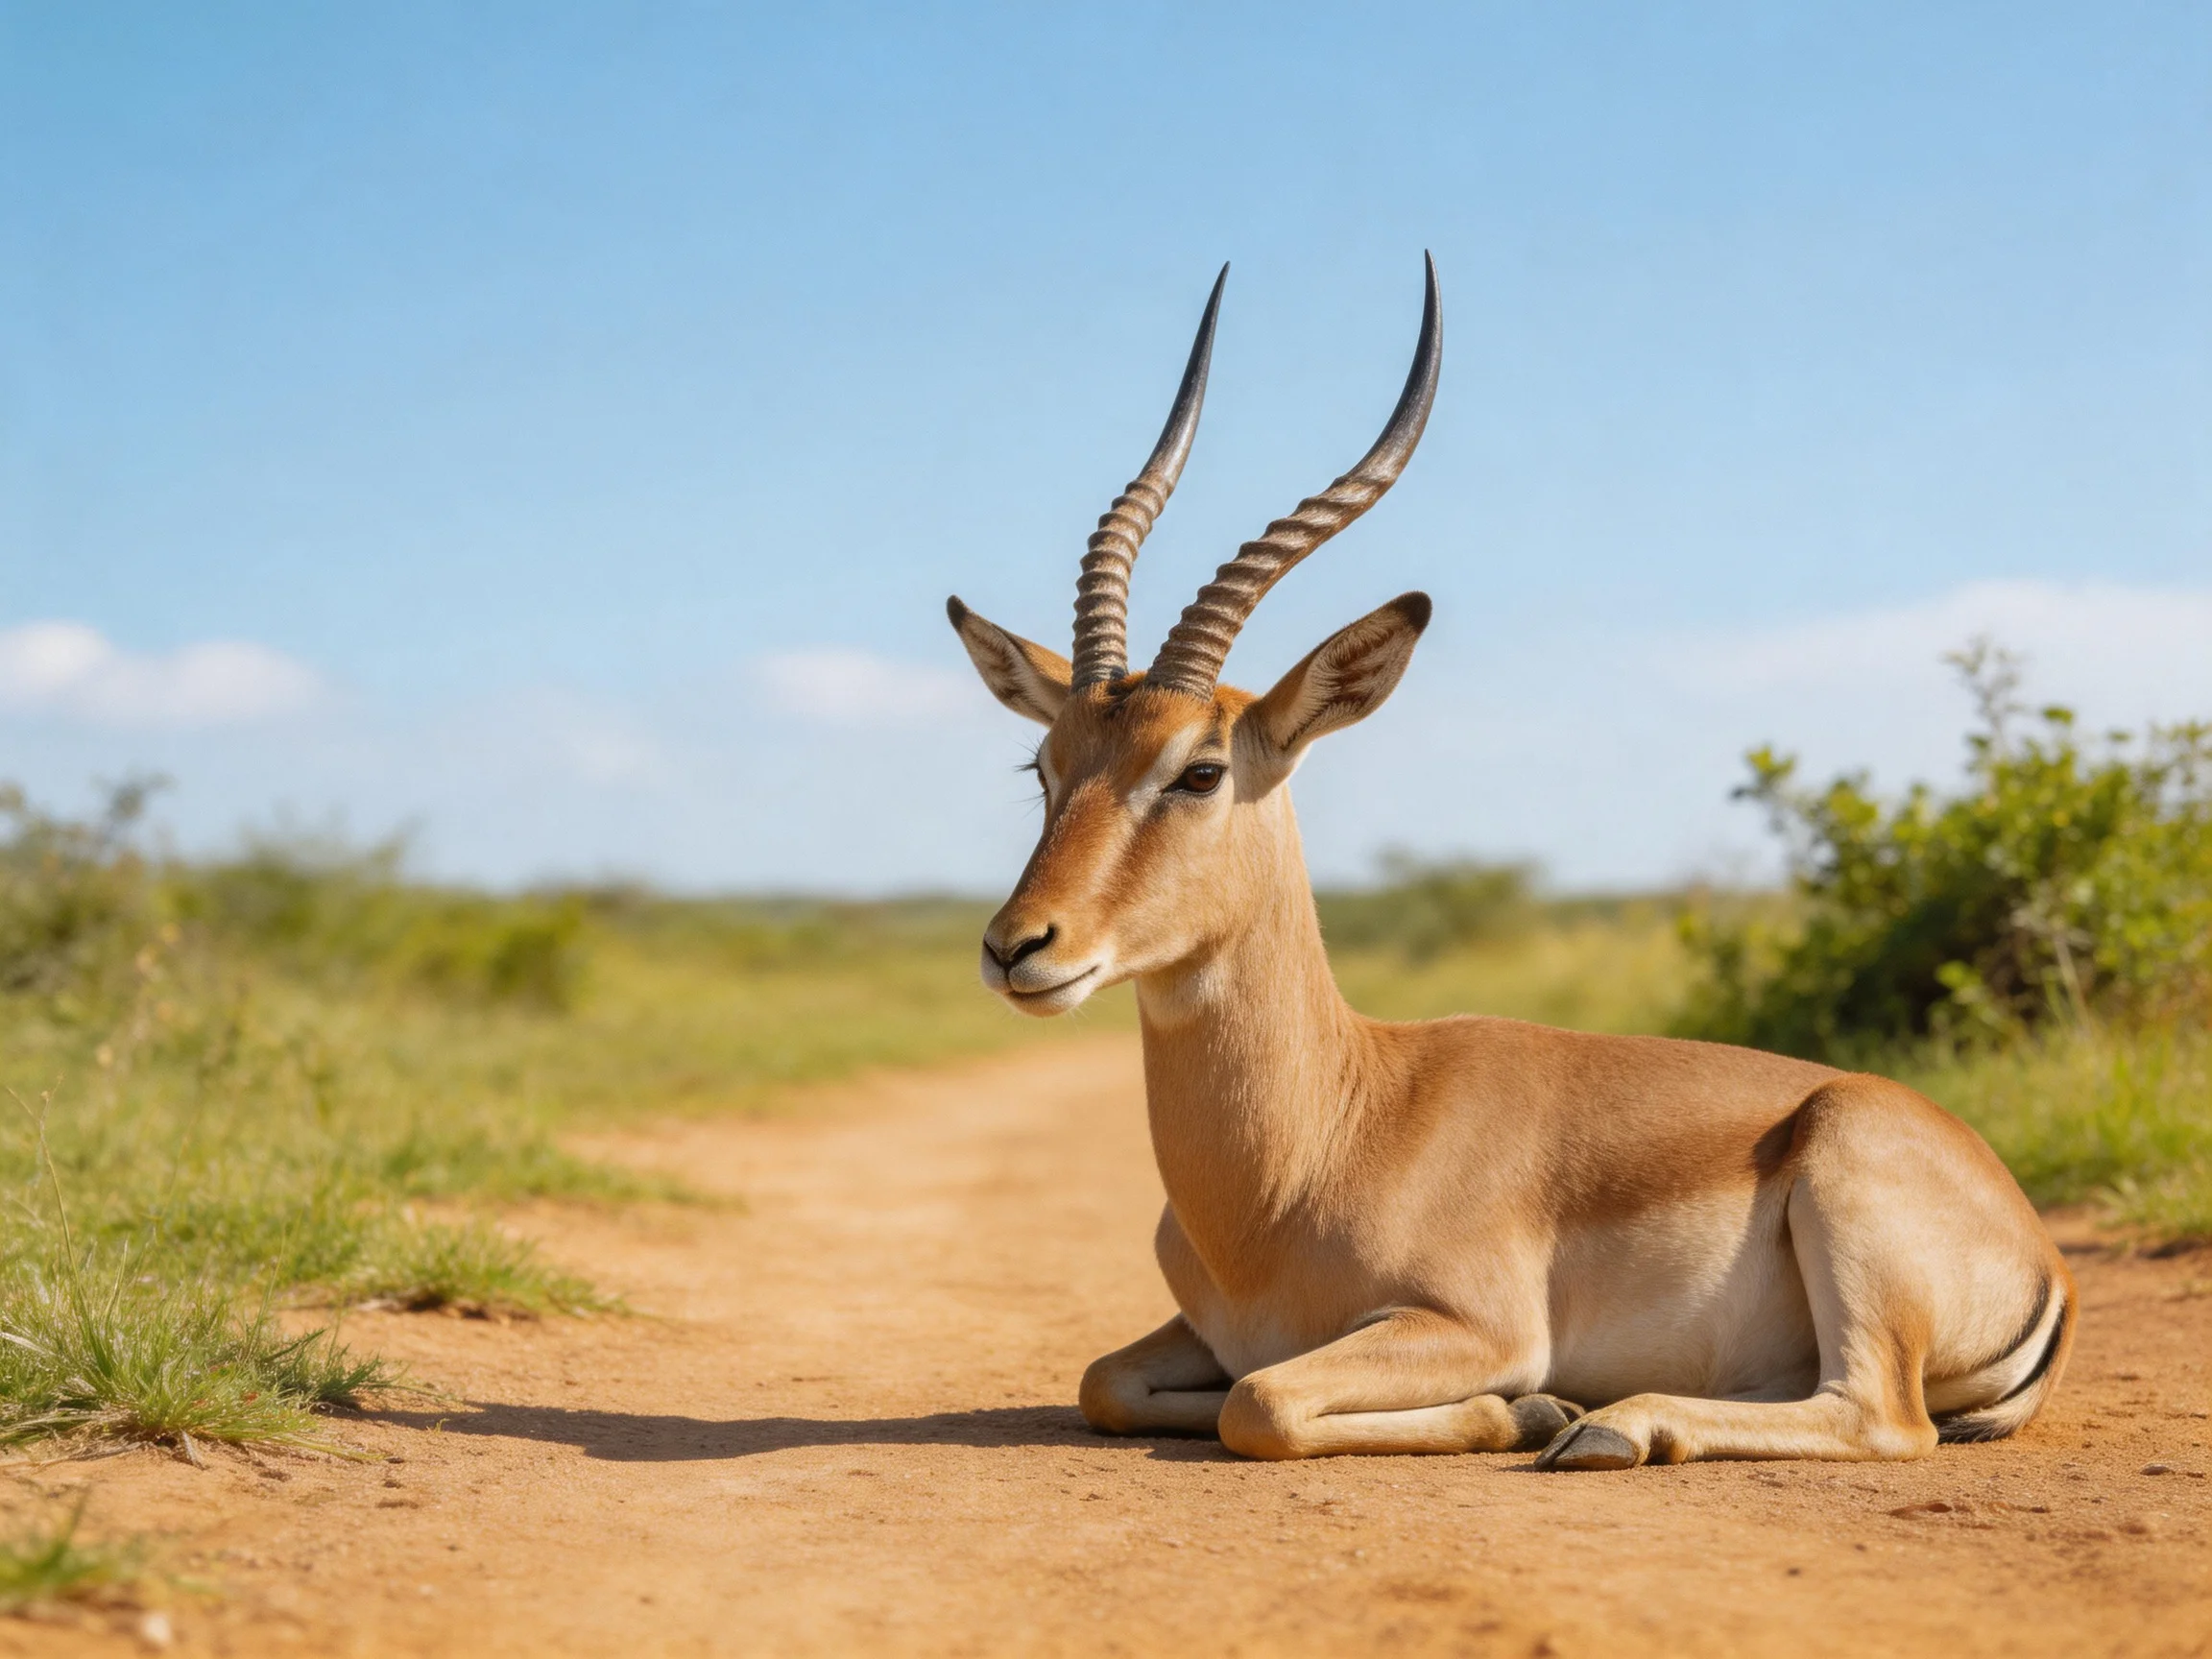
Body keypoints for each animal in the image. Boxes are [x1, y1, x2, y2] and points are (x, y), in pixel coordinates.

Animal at [945, 259, 2073, 1469]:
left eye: (1198, 770)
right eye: (1045, 764)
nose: (1018, 947)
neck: (1322, 1139)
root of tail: (2039, 1246)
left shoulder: (1472, 1326)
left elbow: (1265, 1402)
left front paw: (1532, 1407)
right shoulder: (1194, 1336)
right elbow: (1110, 1382)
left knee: (1882, 1419)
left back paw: (1608, 1425)